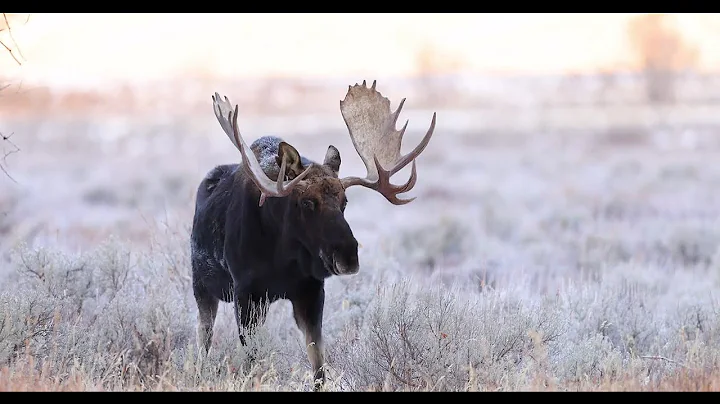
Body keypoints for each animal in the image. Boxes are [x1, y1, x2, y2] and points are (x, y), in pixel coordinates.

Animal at [190, 80, 437, 390]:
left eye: (345, 202)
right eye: (307, 202)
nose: (348, 256)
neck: (281, 257)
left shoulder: (310, 290)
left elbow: (319, 366)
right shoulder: (246, 292)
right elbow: (250, 361)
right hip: (202, 286)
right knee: (203, 338)